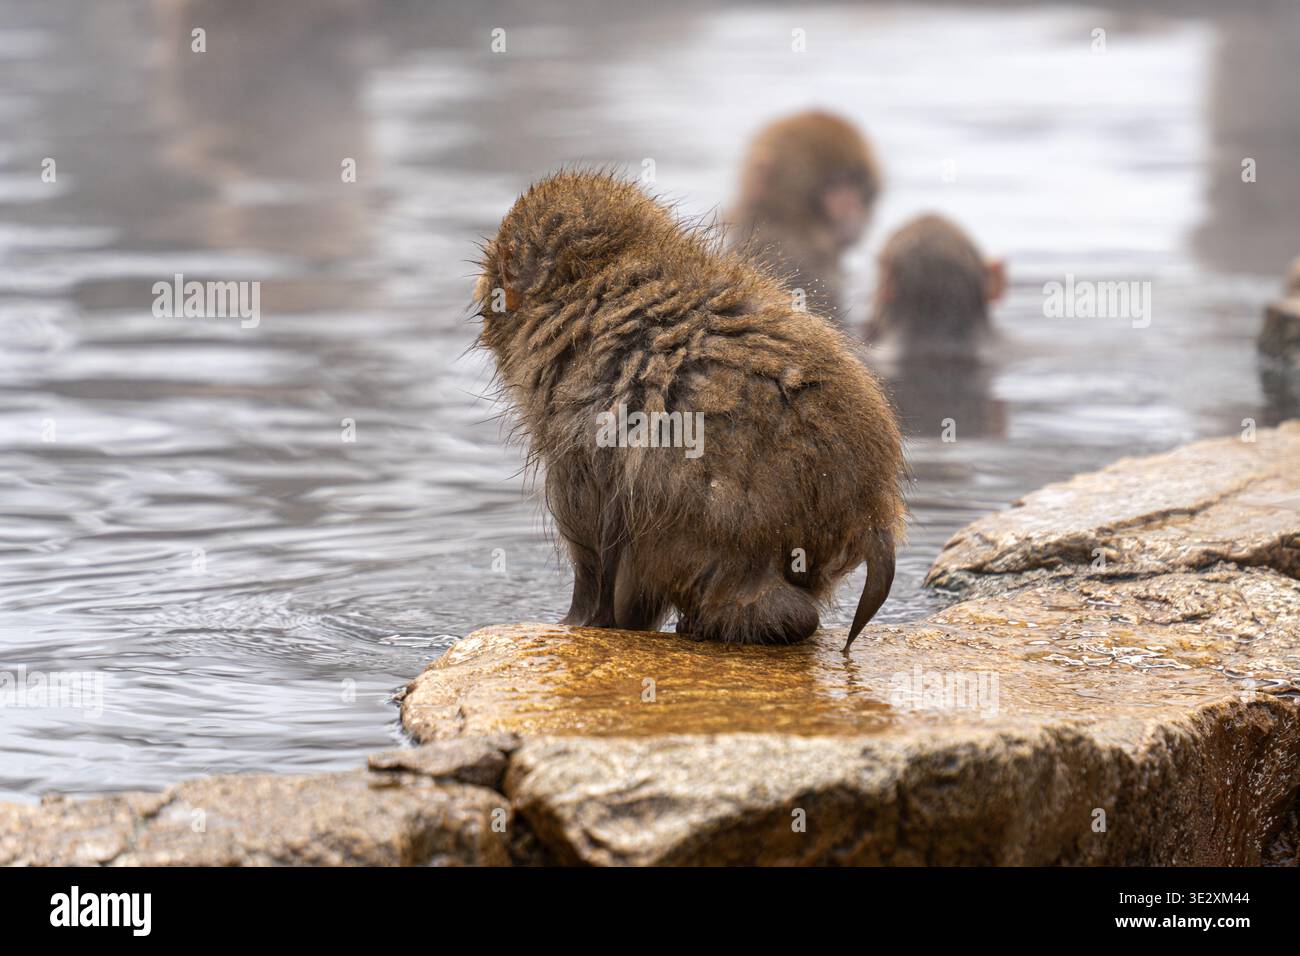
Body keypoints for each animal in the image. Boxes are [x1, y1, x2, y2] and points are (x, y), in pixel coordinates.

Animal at [474, 170, 905, 648]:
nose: (486, 294)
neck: (596, 281)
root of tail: (870, 516)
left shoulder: (574, 432)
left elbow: (589, 533)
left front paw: (579, 620)